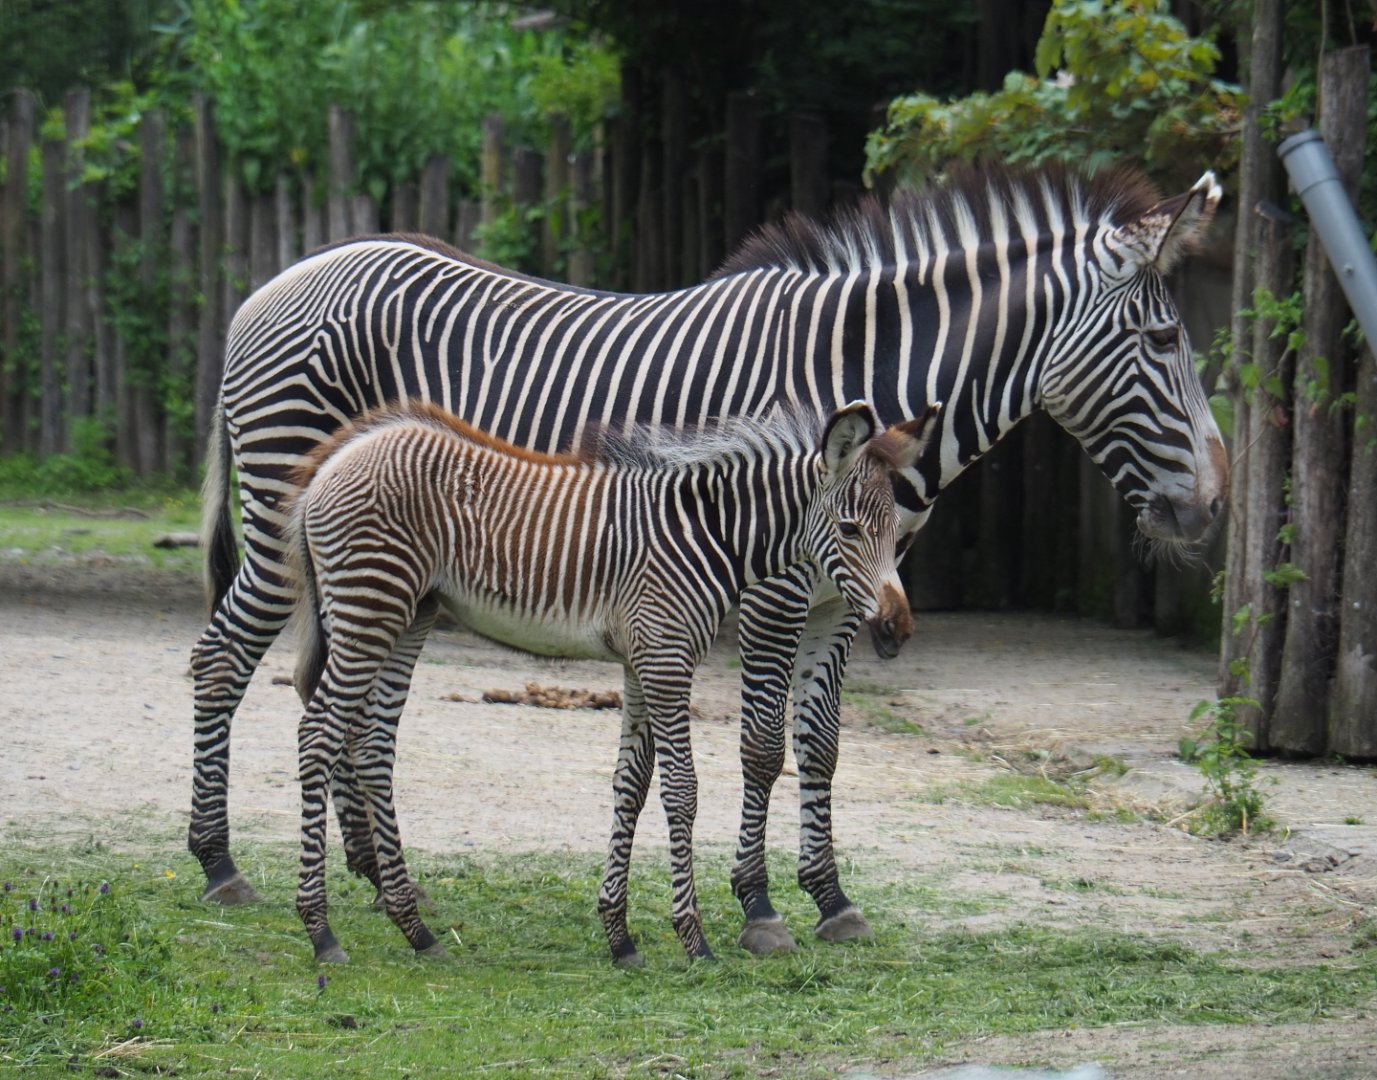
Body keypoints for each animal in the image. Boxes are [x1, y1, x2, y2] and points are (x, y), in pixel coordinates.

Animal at [284, 397, 939, 965]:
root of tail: (338, 456)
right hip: (371, 604)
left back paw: (414, 929)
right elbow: (681, 789)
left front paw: (619, 936)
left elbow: (632, 786)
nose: (897, 626)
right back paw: (320, 931)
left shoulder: (640, 660)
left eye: (896, 533)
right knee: (317, 735)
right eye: (851, 530)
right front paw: (693, 939)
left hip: (411, 610)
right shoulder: (667, 658)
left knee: (372, 747)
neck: (706, 535)